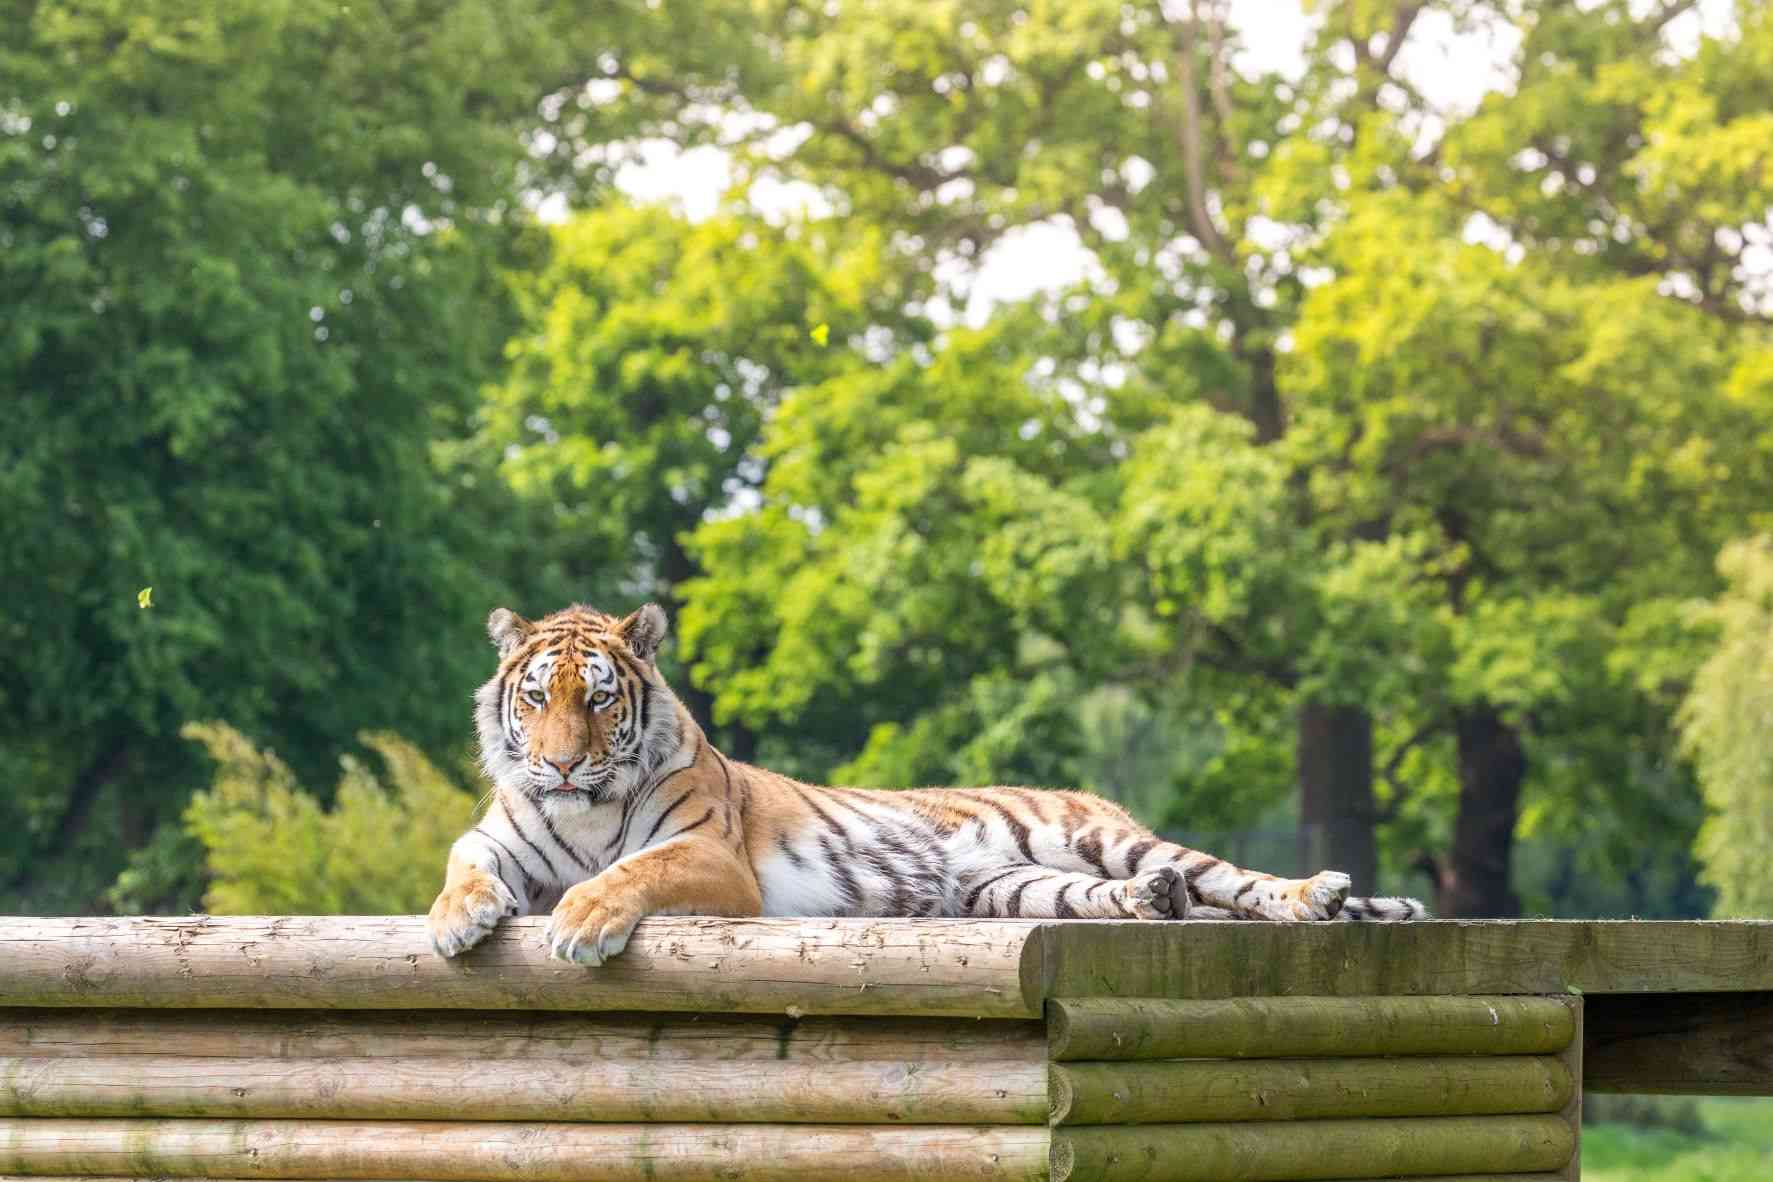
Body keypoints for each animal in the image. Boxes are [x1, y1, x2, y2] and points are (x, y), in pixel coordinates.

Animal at [429, 602, 1425, 964]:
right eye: (536, 698)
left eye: (598, 700)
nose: (560, 763)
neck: (582, 811)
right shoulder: (496, 840)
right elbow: (461, 868)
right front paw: (456, 922)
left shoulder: (711, 858)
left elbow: (627, 873)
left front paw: (582, 922)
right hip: (1018, 889)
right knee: (1150, 895)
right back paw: (1157, 900)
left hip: (1098, 835)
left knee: (1235, 879)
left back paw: (1314, 894)